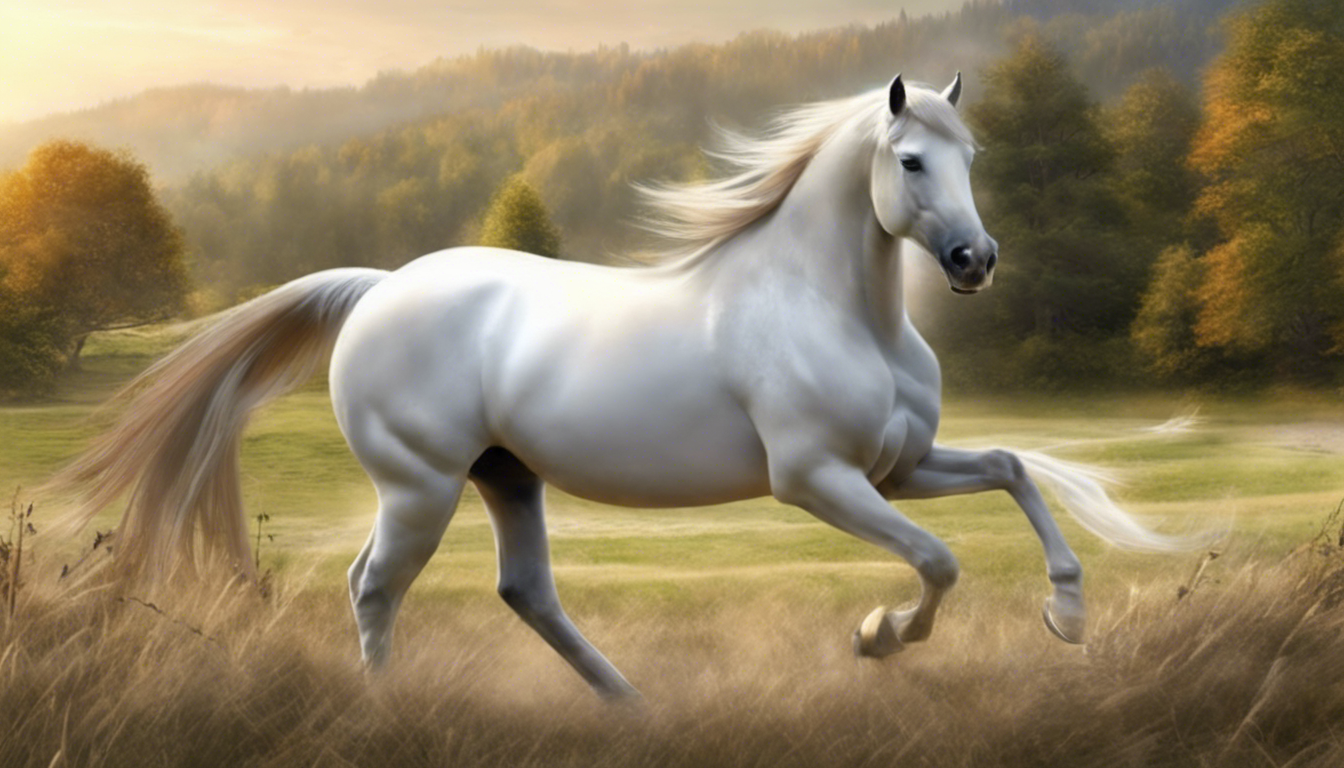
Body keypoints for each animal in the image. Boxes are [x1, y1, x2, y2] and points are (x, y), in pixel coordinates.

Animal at [54, 73, 1196, 700]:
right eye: (912, 161)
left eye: (973, 156)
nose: (974, 261)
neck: (837, 311)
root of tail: (380, 290)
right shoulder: (819, 481)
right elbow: (939, 561)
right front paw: (877, 638)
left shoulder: (898, 467)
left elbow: (1010, 469)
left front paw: (1067, 615)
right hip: (420, 487)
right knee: (374, 589)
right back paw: (394, 711)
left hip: (507, 476)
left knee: (525, 593)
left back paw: (634, 706)